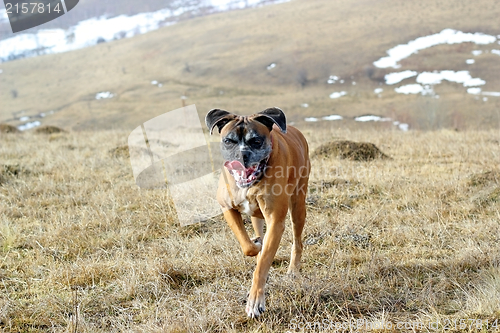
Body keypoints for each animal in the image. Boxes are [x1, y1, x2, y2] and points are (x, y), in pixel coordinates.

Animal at [206, 106, 308, 316]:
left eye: (256, 141)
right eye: (228, 141)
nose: (241, 156)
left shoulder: (276, 222)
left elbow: (262, 265)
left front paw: (255, 301)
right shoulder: (227, 208)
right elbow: (248, 246)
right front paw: (256, 245)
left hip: (298, 207)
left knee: (297, 241)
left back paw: (293, 270)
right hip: (257, 217)